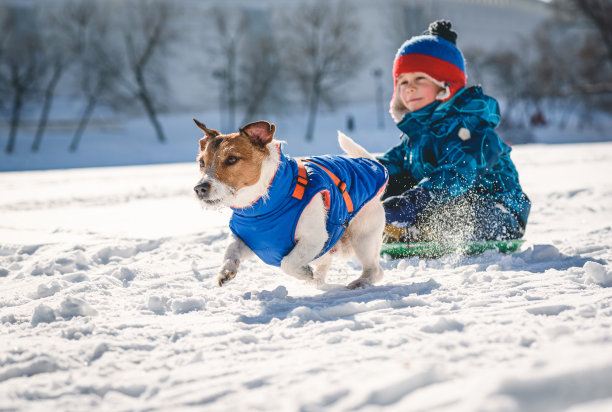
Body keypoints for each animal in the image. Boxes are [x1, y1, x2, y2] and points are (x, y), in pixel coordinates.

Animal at [194, 119, 388, 290]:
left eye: (232, 159)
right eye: (201, 162)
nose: (199, 188)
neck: (260, 209)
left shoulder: (314, 238)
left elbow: (287, 262)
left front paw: (304, 273)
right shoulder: (254, 241)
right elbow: (230, 250)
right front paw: (226, 271)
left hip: (363, 238)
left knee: (375, 271)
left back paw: (357, 283)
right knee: (326, 264)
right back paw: (316, 281)